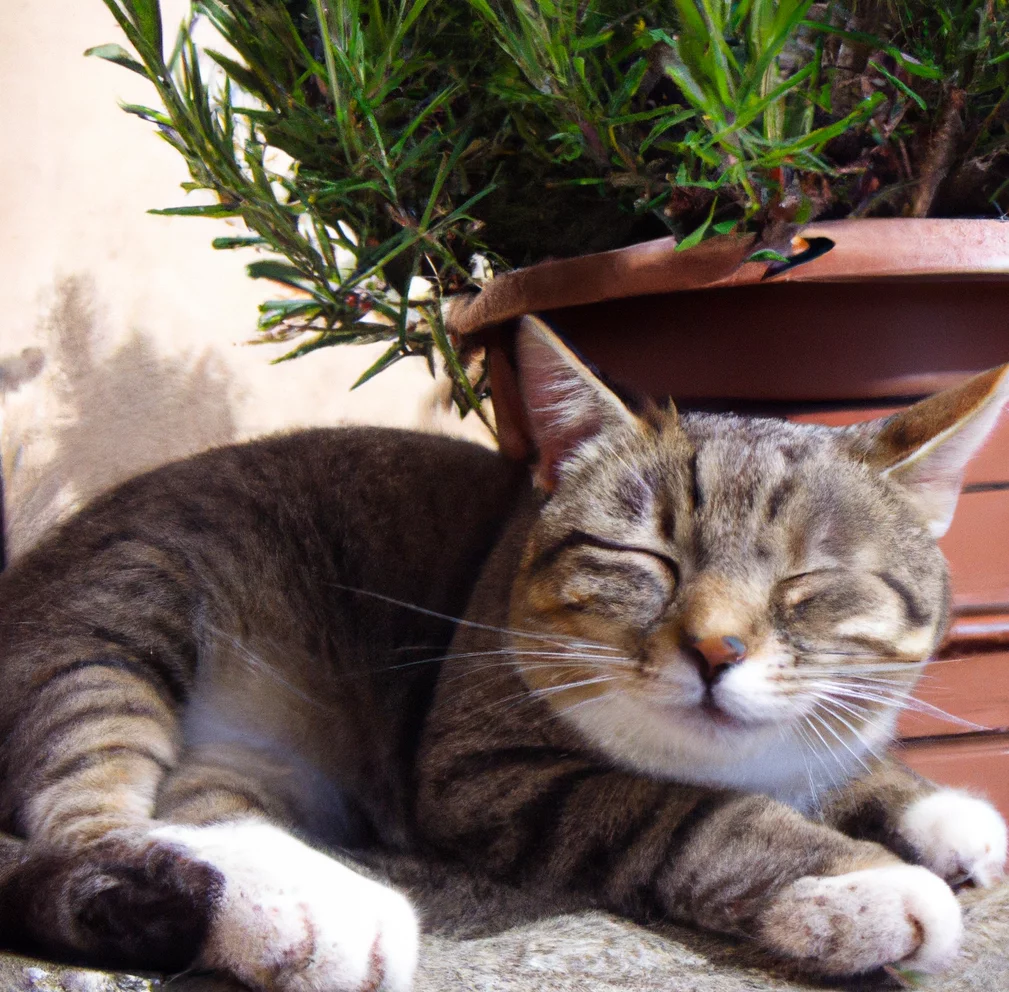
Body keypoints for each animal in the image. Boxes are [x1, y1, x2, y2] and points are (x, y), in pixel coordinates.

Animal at [0, 320, 1004, 992]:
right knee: (86, 822)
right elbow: (692, 812)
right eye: (648, 560)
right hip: (127, 603)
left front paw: (936, 810)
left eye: (808, 578)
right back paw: (313, 910)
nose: (715, 648)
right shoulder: (483, 777)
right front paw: (856, 882)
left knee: (192, 801)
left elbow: (844, 759)